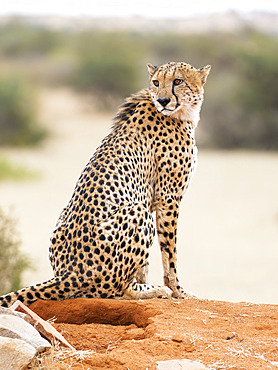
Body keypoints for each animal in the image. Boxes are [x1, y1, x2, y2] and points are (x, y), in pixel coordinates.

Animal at [0, 62, 210, 308]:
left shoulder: (156, 199)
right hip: (137, 212)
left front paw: (154, 283)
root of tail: (67, 274)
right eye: (156, 82)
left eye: (178, 81)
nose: (163, 100)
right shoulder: (168, 197)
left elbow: (147, 264)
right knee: (117, 289)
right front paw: (179, 291)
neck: (180, 113)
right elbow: (170, 254)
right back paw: (155, 290)